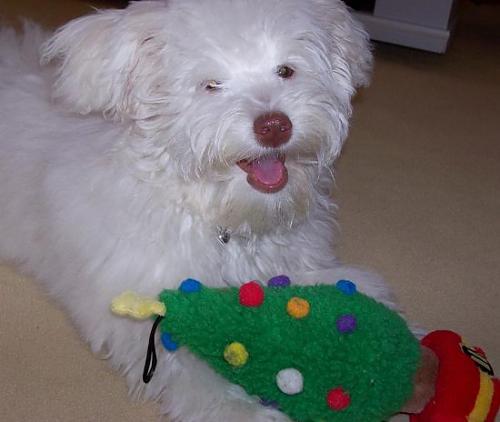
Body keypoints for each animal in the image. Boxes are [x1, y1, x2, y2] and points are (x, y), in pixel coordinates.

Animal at [0, 1, 400, 420]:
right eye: (211, 85)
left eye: (286, 71)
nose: (274, 126)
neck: (222, 217)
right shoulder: (142, 301)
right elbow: (186, 366)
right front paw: (246, 410)